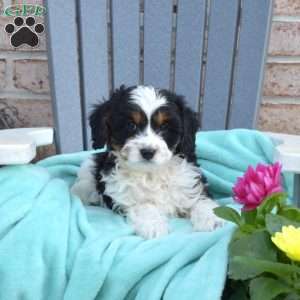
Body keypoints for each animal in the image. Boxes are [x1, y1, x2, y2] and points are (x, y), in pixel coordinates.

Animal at [71, 84, 224, 239]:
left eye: (164, 126)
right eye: (131, 125)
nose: (148, 152)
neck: (151, 174)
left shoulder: (190, 181)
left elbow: (201, 199)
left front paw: (212, 218)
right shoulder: (125, 195)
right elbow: (144, 206)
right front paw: (154, 226)